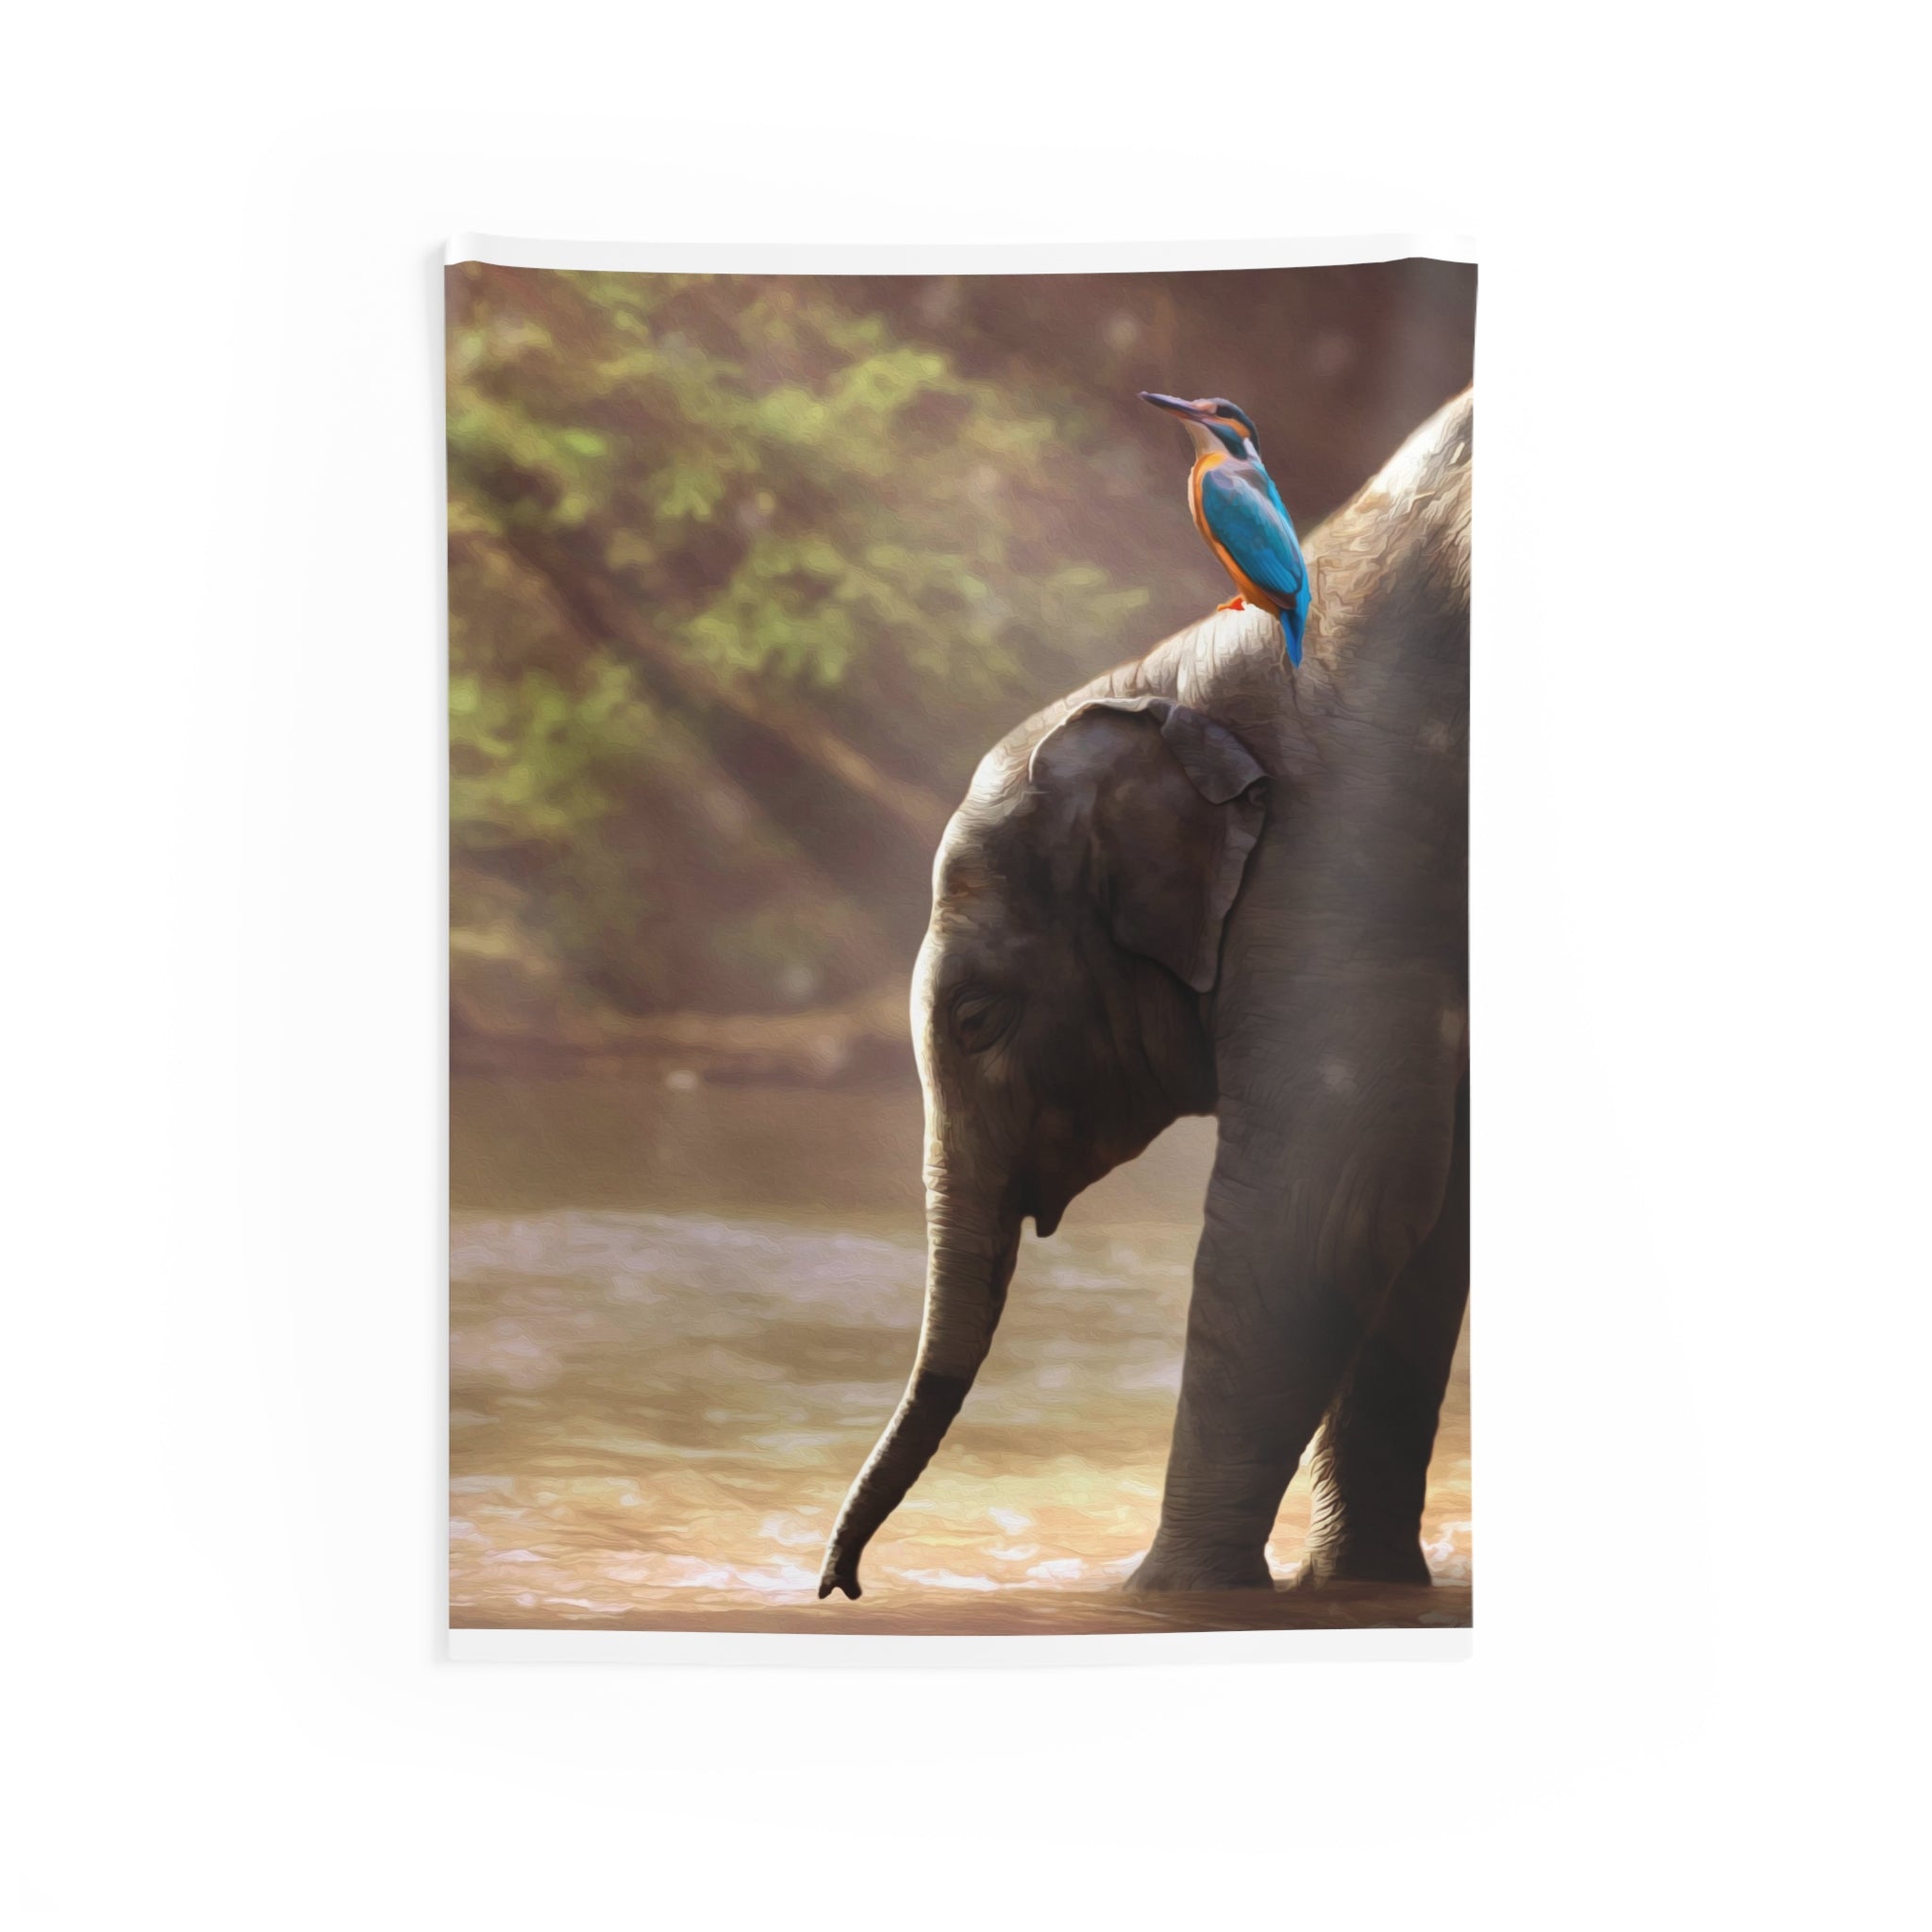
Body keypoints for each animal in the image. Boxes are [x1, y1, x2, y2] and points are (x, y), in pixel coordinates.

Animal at [818, 389, 1472, 1599]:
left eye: (975, 1021)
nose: (838, 1583)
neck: (1164, 677)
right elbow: (1427, 1213)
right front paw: (1353, 1589)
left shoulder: (1351, 848)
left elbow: (1329, 1190)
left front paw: (1158, 1594)